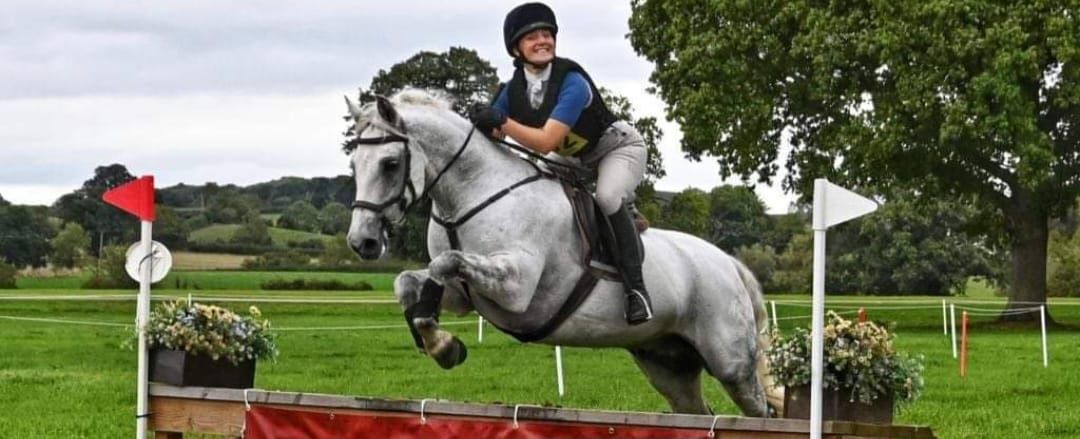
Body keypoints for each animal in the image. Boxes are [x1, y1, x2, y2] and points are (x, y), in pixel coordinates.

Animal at [343, 88, 777, 415]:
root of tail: (731, 264)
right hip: (667, 363)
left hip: (731, 362)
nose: (362, 242)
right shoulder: (465, 295)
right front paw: (438, 341)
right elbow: (410, 280)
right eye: (353, 163)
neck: (471, 195)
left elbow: (445, 263)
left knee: (760, 411)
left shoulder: (516, 289)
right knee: (697, 412)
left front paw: (442, 345)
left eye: (390, 163)